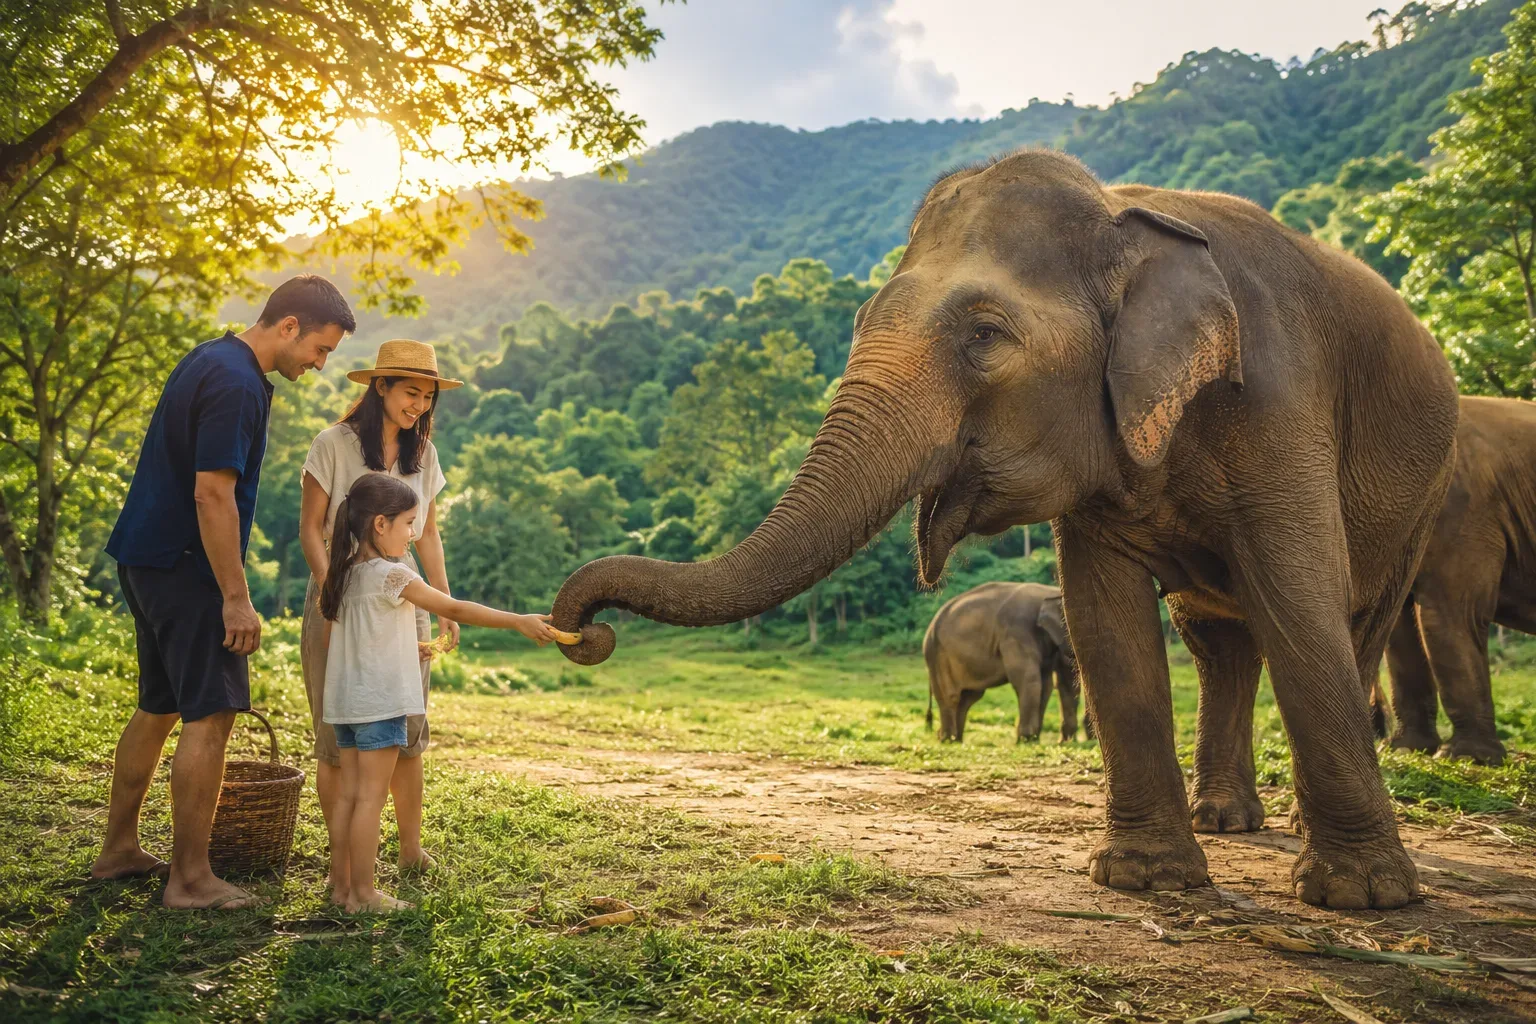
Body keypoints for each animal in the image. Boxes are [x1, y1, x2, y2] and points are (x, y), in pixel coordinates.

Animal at [923, 582, 1086, 743]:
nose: (1066, 740)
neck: (1050, 592)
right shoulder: (1017, 631)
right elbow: (1028, 679)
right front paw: (1026, 739)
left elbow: (1048, 685)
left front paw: (1034, 740)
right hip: (938, 656)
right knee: (951, 696)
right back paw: (947, 739)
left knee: (968, 698)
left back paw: (954, 739)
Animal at [1374, 395, 1536, 766]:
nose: (1377, 724)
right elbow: (1400, 627)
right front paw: (1406, 750)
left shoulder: (1463, 509)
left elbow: (1450, 615)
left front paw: (1467, 758)